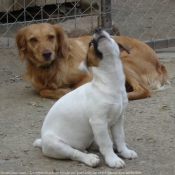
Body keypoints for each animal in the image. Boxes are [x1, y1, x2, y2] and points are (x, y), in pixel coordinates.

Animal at [16, 22, 168, 100]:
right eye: (33, 40)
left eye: (51, 37)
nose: (47, 54)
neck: (52, 67)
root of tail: (159, 64)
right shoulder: (41, 87)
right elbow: (43, 91)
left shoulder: (89, 75)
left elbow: (76, 88)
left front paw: (67, 91)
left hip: (120, 61)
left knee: (143, 90)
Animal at [32, 29, 137, 168]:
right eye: (90, 43)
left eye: (110, 35)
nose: (98, 29)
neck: (110, 83)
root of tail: (42, 142)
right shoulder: (98, 122)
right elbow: (106, 143)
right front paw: (112, 160)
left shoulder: (118, 119)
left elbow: (120, 137)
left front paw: (124, 152)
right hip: (55, 143)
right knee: (75, 153)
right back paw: (90, 159)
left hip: (91, 136)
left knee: (93, 145)